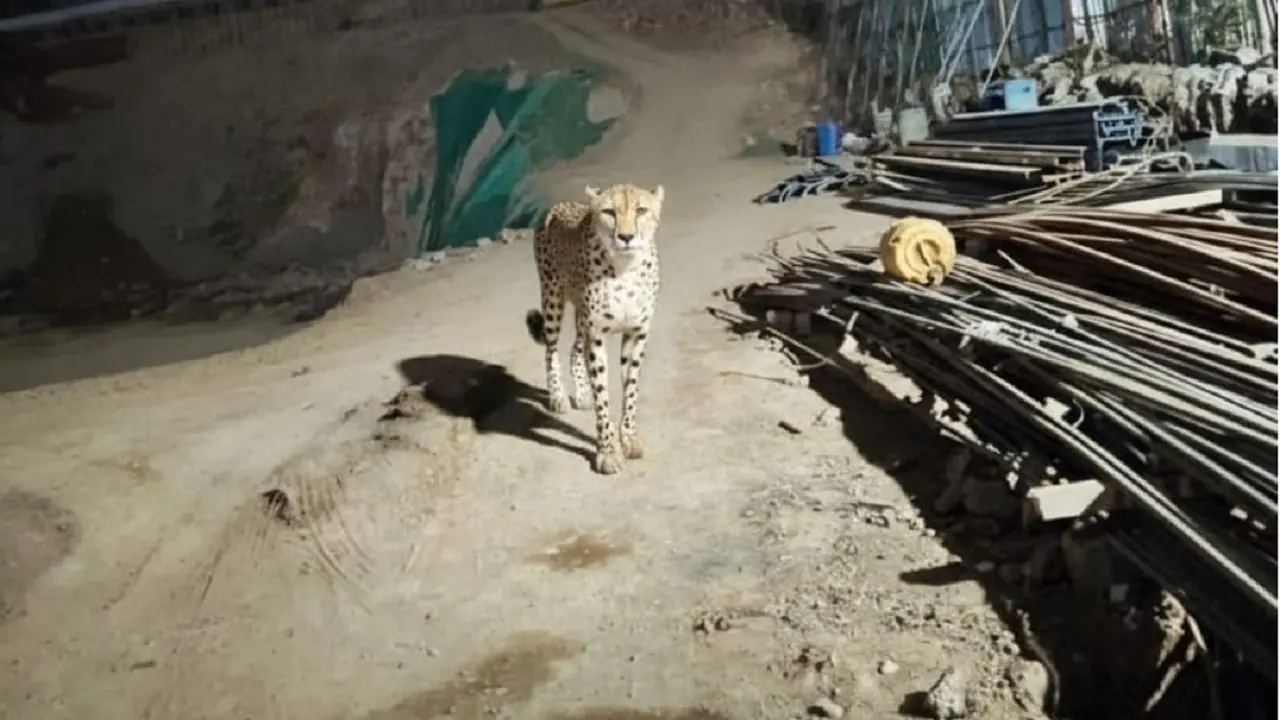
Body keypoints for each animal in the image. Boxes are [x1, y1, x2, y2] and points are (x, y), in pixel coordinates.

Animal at [524, 183, 665, 475]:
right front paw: (608, 451)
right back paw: (558, 397)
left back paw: (580, 394)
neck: (625, 269)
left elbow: (630, 390)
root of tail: (559, 203)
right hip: (553, 299)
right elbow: (603, 397)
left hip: (580, 318)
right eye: (609, 212)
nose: (626, 237)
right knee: (551, 350)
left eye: (641, 210)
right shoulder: (597, 336)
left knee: (574, 349)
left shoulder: (636, 334)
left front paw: (629, 439)